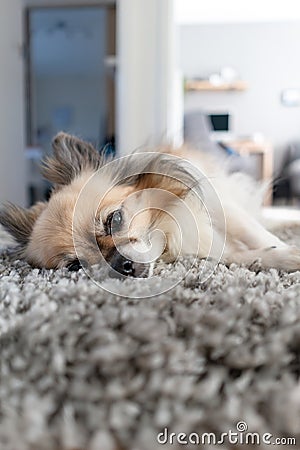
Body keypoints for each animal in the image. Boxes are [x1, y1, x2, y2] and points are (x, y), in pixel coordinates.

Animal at [0, 131, 298, 278]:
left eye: (114, 220)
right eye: (76, 266)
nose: (121, 266)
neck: (167, 230)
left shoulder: (218, 204)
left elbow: (253, 233)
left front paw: (285, 249)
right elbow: (239, 256)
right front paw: (281, 258)